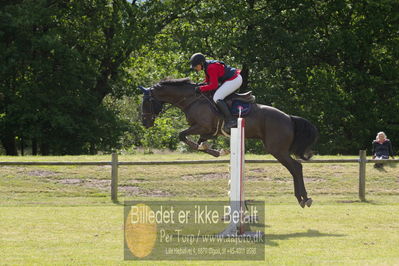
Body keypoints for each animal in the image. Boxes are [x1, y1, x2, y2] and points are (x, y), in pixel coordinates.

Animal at [140, 77, 318, 208]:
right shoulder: (207, 130)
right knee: (295, 168)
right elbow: (200, 142)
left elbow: (182, 135)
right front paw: (215, 150)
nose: (145, 123)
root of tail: (289, 118)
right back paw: (302, 198)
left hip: (277, 150)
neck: (191, 99)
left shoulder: (202, 126)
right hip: (279, 150)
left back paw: (304, 198)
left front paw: (215, 151)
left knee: (296, 167)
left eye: (146, 102)